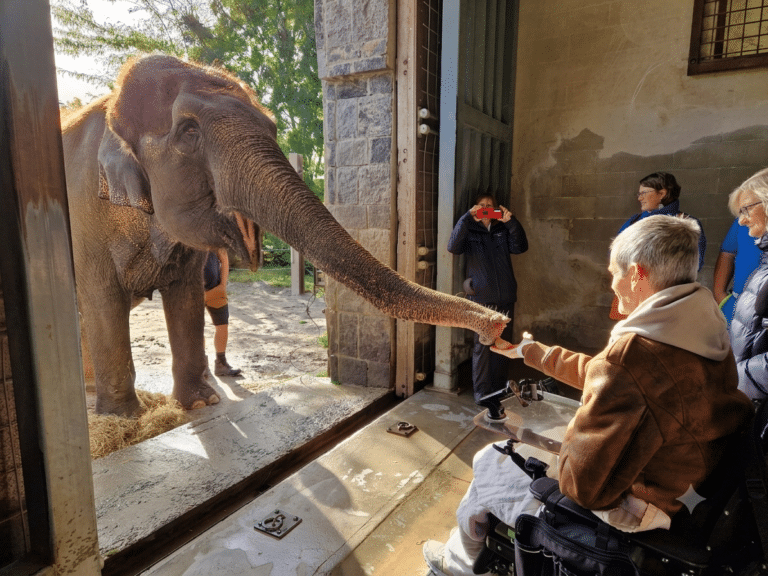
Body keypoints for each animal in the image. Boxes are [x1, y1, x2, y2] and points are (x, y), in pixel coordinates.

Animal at [60, 54, 508, 417]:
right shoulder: (82, 214)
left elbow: (186, 297)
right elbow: (102, 298)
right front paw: (127, 419)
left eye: (273, 127)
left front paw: (202, 403)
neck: (109, 107)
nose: (498, 326)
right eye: (188, 132)